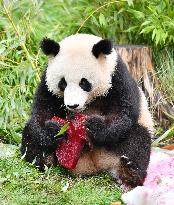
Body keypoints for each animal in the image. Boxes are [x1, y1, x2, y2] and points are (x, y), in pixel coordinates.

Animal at [20, 33, 154, 187]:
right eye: (62, 83)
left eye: (84, 83)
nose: (73, 105)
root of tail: (95, 164)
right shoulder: (47, 82)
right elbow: (42, 110)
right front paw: (54, 130)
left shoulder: (117, 78)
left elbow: (123, 112)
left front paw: (94, 127)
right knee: (30, 134)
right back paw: (42, 159)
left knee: (138, 140)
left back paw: (130, 171)